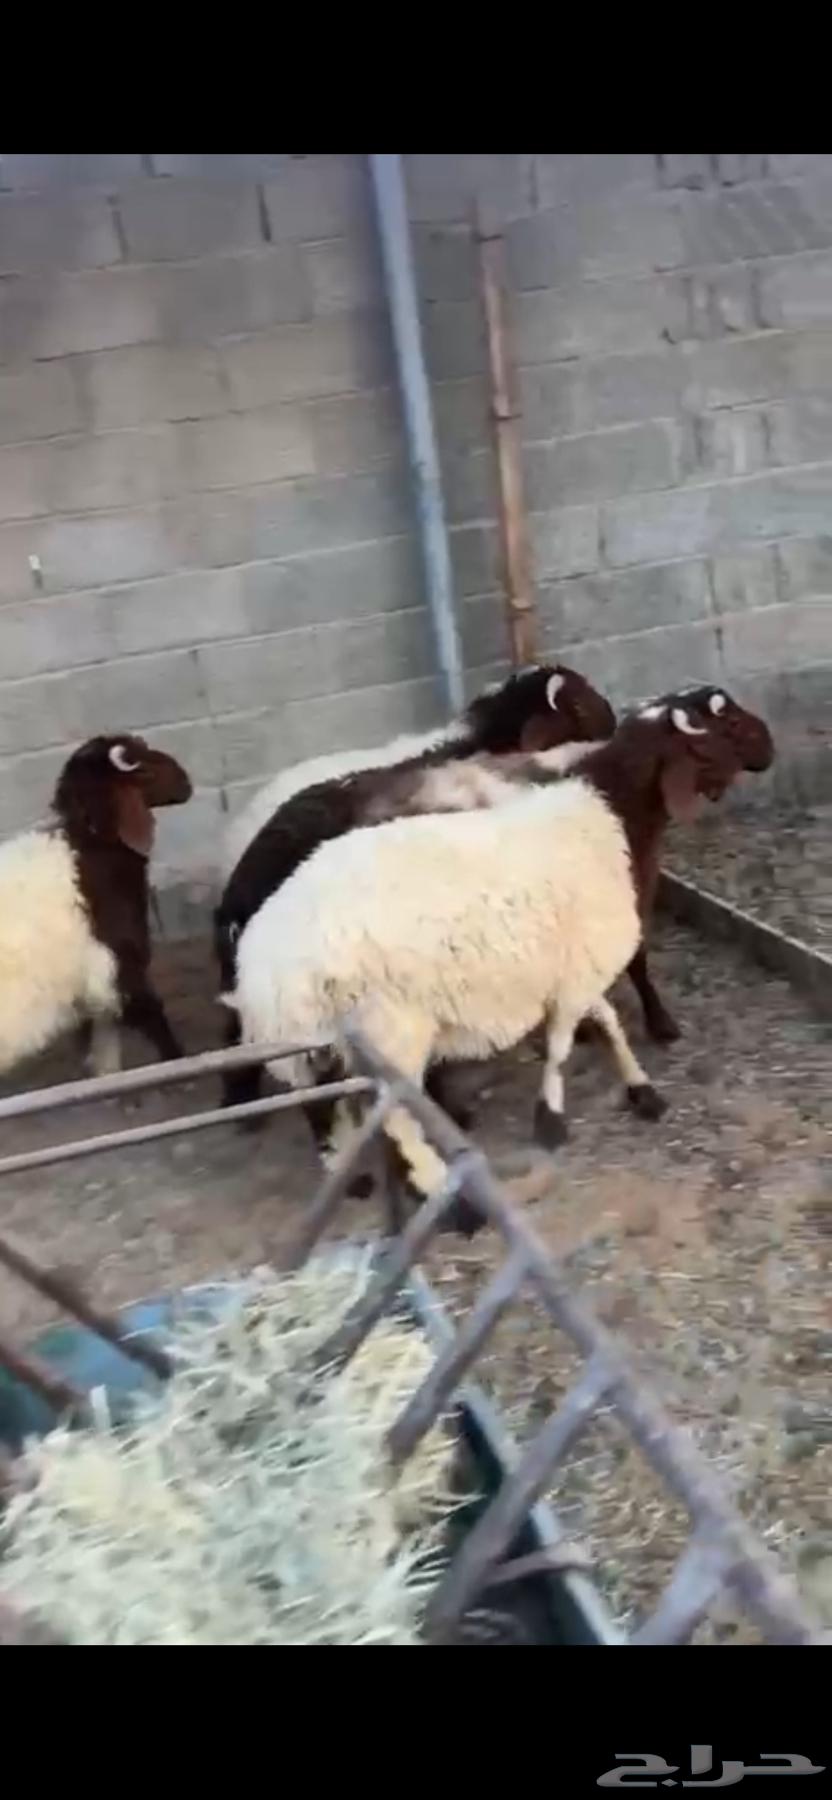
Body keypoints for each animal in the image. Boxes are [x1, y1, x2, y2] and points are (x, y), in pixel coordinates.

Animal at [0, 735, 192, 1081]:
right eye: (142, 772)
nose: (185, 781)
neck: (90, 858)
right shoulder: (116, 969)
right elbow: (152, 1016)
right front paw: (181, 1064)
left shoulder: (90, 991)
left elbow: (101, 1047)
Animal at [227, 698, 761, 1214]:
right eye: (710, 737)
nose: (762, 755)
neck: (607, 813)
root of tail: (264, 971)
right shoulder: (581, 962)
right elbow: (563, 1042)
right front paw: (552, 1118)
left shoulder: (573, 963)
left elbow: (606, 1021)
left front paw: (639, 1087)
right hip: (389, 1034)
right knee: (395, 1117)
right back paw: (444, 1193)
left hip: (316, 1048)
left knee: (325, 1107)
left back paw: (351, 1171)